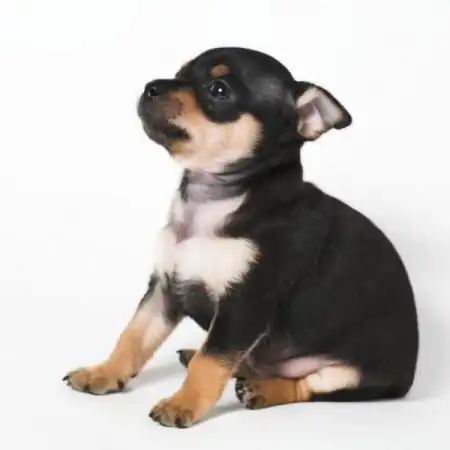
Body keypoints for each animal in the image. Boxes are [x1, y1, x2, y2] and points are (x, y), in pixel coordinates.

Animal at [64, 47, 419, 428]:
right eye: (179, 74)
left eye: (219, 90)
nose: (151, 87)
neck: (210, 204)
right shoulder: (164, 288)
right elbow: (133, 336)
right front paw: (103, 372)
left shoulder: (245, 304)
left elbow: (210, 361)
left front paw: (184, 403)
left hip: (350, 374)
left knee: (303, 386)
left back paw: (262, 389)